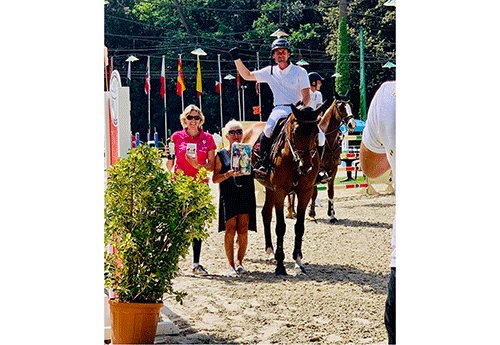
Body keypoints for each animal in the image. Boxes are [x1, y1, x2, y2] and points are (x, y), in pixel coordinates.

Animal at [241, 101, 330, 274]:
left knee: (266, 214)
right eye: (295, 132)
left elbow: (299, 227)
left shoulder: (305, 192)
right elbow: (280, 227)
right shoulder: (280, 191)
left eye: (316, 132)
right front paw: (281, 265)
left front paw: (298, 261)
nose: (306, 166)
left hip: (269, 189)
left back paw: (270, 251)